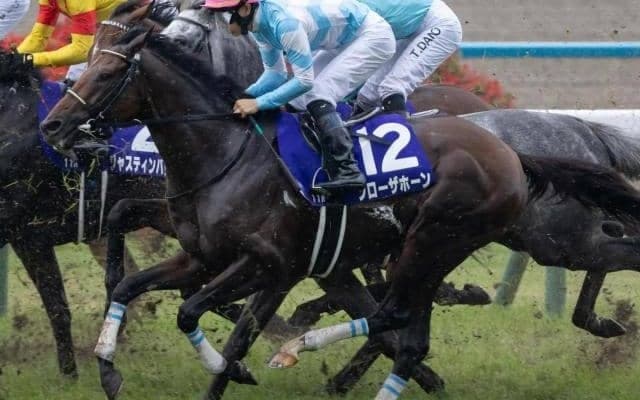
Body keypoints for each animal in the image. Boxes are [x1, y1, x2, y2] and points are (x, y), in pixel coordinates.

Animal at [41, 28, 640, 400]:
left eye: (105, 74)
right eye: (84, 68)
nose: (52, 125)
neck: (229, 154)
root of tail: (512, 154)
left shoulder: (271, 265)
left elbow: (204, 319)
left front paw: (237, 366)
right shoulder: (209, 257)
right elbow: (135, 288)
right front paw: (109, 371)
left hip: (469, 238)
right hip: (435, 248)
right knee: (403, 330)